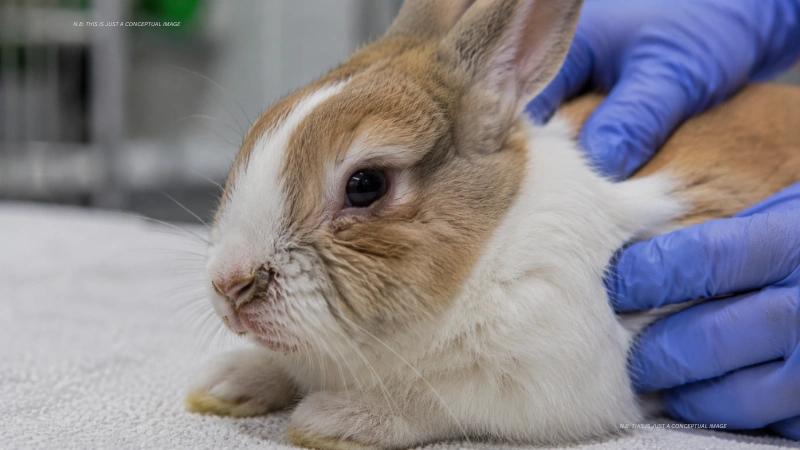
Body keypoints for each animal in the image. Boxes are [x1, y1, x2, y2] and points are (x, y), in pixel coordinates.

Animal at [185, 0, 800, 449]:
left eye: (366, 184)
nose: (229, 284)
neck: (490, 247)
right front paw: (223, 384)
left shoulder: (536, 382)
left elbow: (435, 399)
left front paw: (334, 420)